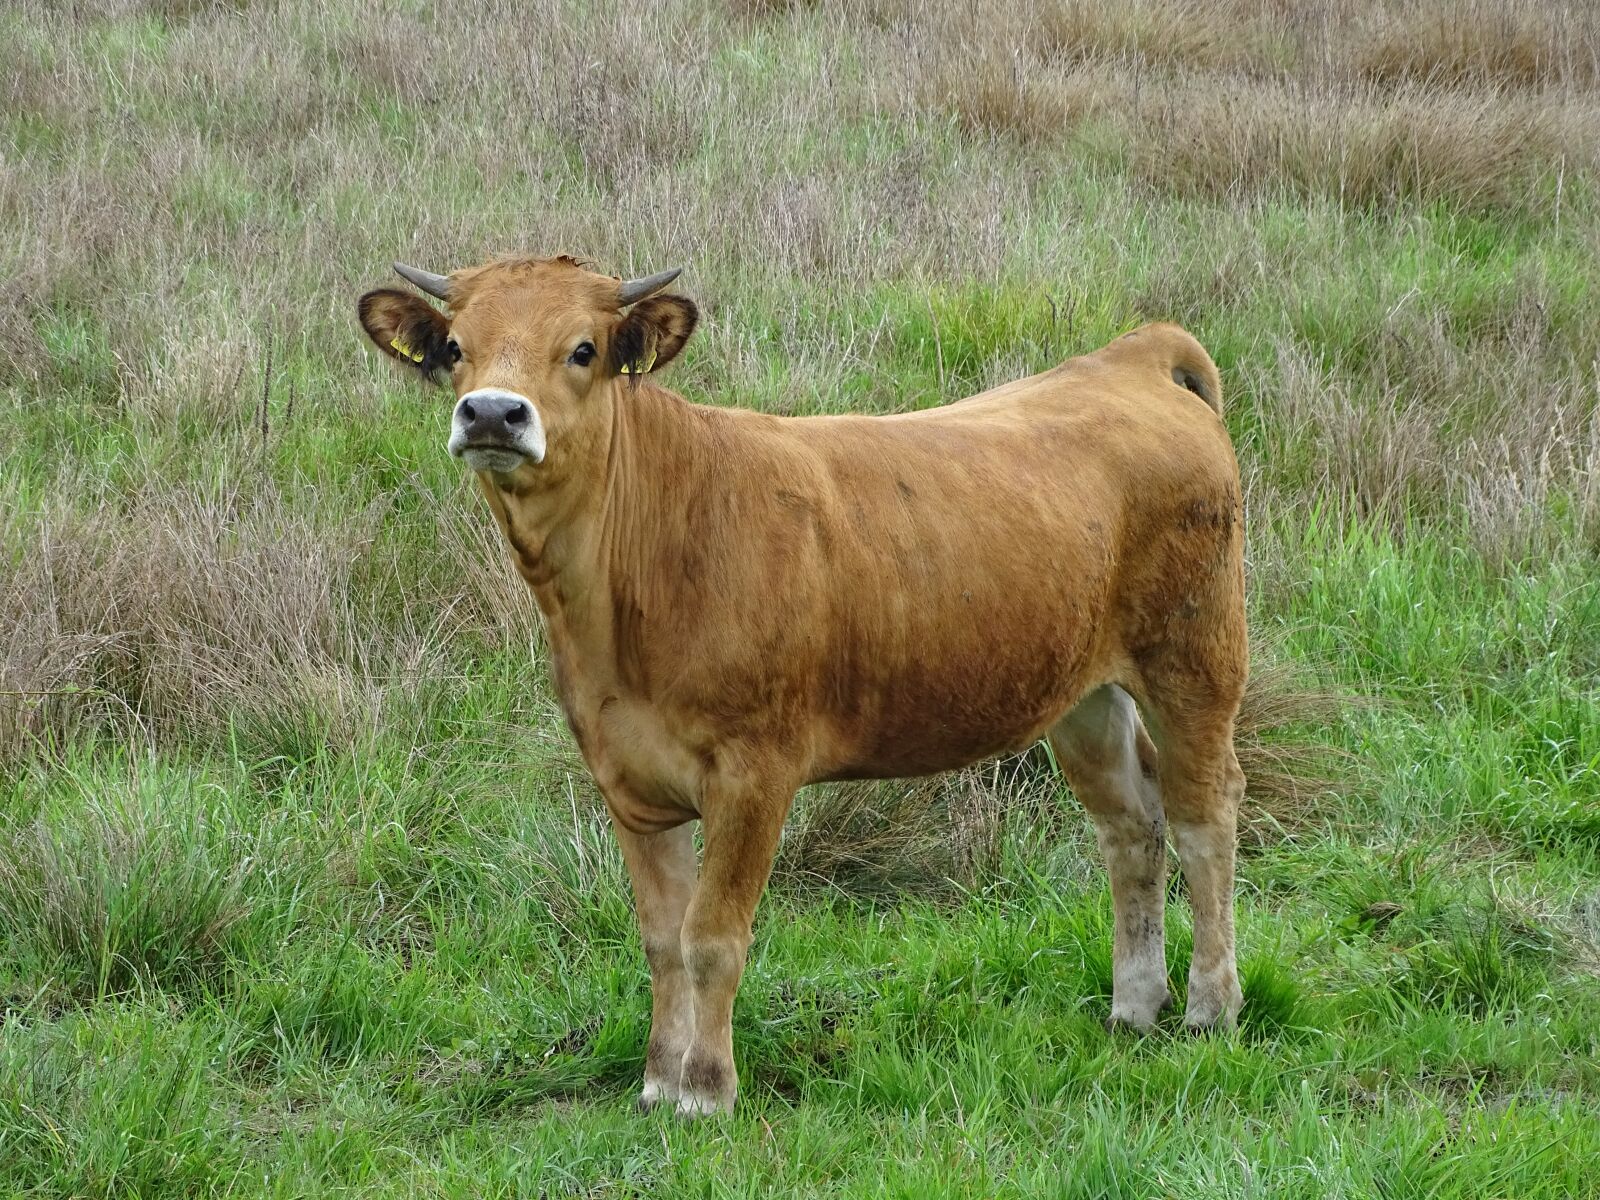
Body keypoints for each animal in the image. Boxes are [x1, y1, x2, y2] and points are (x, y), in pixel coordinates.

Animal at [357, 255, 1248, 1117]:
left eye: (582, 349)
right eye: (455, 348)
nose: (492, 414)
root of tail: (1127, 356)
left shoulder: (756, 772)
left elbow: (712, 937)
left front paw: (706, 1091)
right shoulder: (627, 780)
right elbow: (661, 940)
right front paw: (656, 1081)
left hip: (1196, 661)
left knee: (1204, 815)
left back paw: (1210, 1006)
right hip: (1084, 692)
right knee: (1131, 825)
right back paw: (1135, 1005)